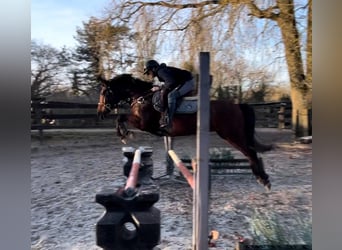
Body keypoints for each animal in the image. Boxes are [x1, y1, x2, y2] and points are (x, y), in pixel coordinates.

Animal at [97, 73, 274, 190]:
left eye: (105, 92)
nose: (100, 113)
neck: (142, 97)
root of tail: (237, 105)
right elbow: (121, 118)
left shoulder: (144, 123)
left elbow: (121, 117)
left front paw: (125, 134)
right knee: (251, 151)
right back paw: (263, 177)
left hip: (232, 135)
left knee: (250, 152)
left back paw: (263, 179)